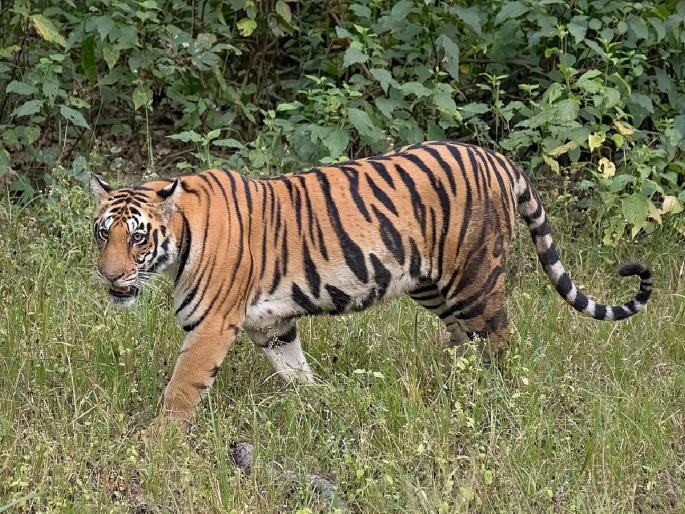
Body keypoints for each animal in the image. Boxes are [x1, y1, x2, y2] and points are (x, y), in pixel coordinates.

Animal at [90, 141, 652, 422]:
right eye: (102, 233)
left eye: (137, 238)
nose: (109, 275)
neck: (180, 240)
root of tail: (496, 157)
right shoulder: (270, 325)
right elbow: (294, 369)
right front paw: (321, 401)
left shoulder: (210, 326)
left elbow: (182, 388)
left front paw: (157, 442)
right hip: (433, 284)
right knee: (463, 340)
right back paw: (448, 383)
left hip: (474, 279)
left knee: (499, 341)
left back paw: (496, 399)